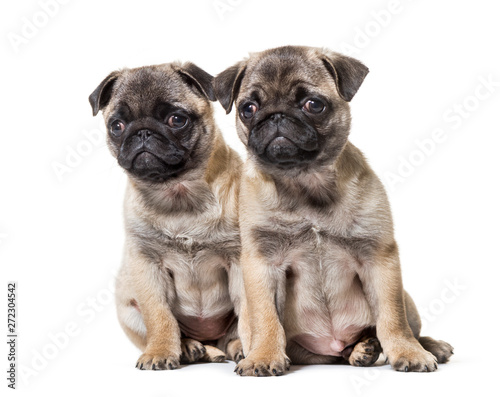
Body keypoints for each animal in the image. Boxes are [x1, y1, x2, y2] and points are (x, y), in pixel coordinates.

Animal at [90, 61, 246, 368]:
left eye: (177, 119)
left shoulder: (237, 260)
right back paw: (192, 348)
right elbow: (160, 316)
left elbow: (249, 312)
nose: (142, 132)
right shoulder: (147, 266)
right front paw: (161, 352)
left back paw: (232, 348)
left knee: (231, 335)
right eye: (117, 126)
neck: (177, 193)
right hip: (128, 309)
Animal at [213, 45, 456, 374]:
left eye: (314, 104)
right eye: (247, 108)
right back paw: (361, 350)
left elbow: (392, 318)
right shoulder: (261, 264)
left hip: (407, 299)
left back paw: (423, 346)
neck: (304, 182)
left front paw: (408, 352)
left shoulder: (380, 259)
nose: (276, 116)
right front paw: (263, 355)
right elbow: (265, 318)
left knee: (407, 325)